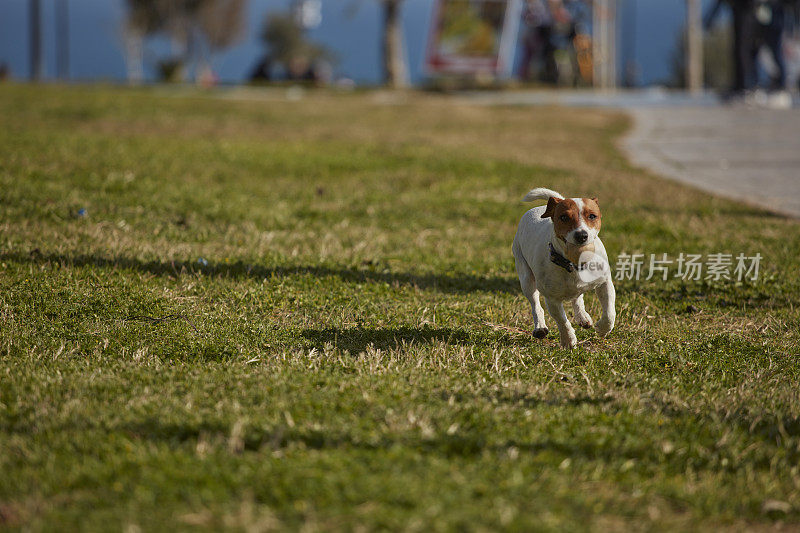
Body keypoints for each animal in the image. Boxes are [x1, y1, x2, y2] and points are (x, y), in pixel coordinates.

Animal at [512, 188, 620, 350]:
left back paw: (582, 316)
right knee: (535, 303)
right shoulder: (552, 298)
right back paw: (540, 327)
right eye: (563, 217)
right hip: (526, 278)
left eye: (592, 216)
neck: (573, 265)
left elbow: (609, 313)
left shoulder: (604, 282)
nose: (581, 235)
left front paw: (602, 329)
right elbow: (562, 320)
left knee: (577, 296)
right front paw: (568, 340)